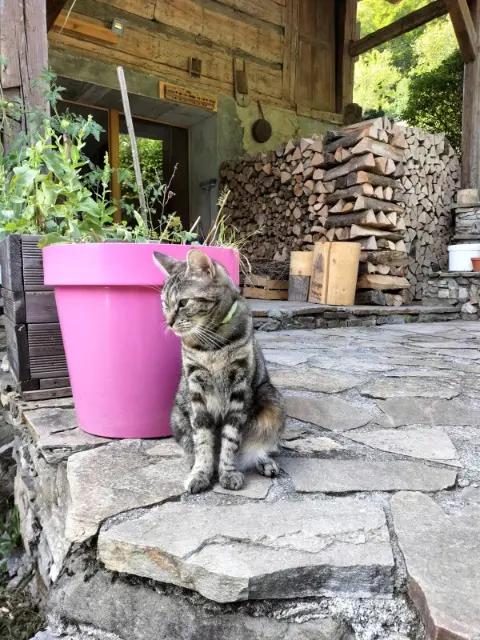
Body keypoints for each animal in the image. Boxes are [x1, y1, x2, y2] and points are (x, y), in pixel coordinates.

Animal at [153, 248, 285, 494]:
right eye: (165, 304)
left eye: (183, 302)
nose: (169, 322)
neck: (212, 344)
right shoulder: (195, 386)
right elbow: (203, 438)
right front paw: (201, 473)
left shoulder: (239, 386)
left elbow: (231, 438)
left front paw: (228, 472)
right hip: (177, 415)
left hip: (273, 402)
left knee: (258, 446)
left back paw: (264, 461)